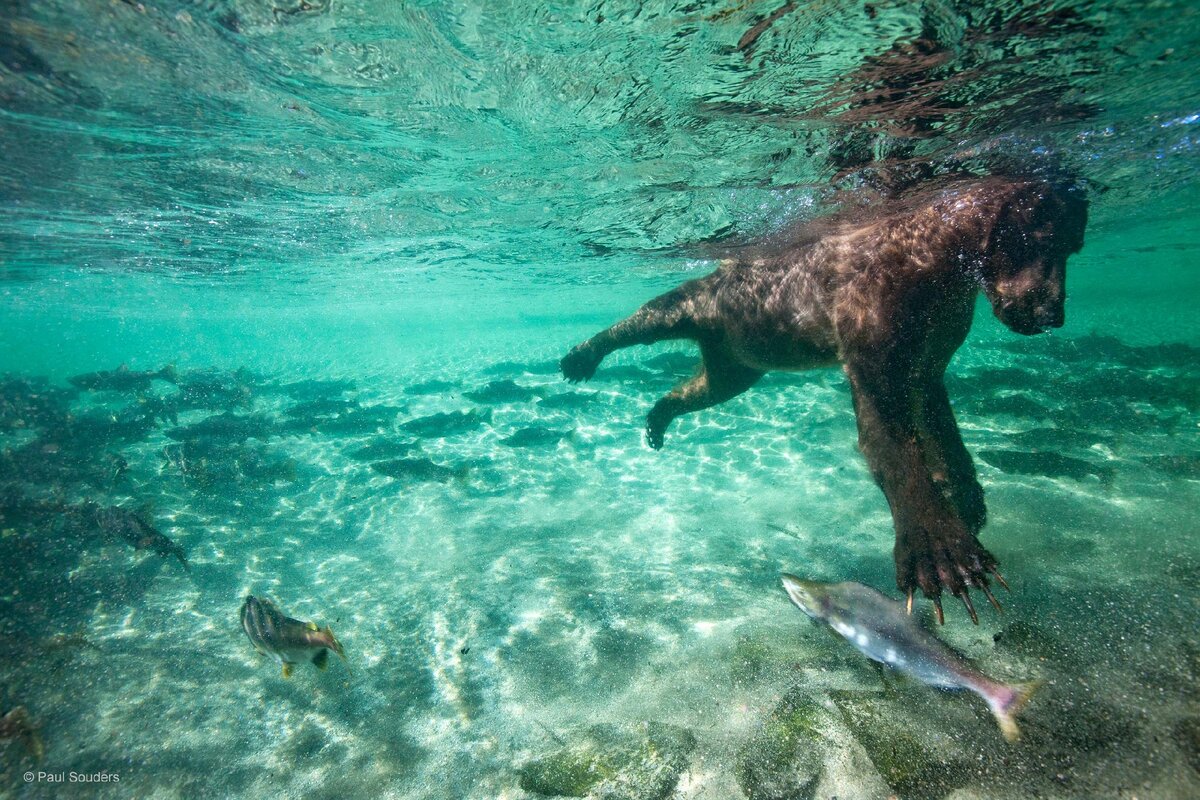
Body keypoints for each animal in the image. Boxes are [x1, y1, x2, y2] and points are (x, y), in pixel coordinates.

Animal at [559, 176, 1089, 623]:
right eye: (1041, 240)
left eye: (1074, 247)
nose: (1053, 312)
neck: (938, 264)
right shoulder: (875, 349)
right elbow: (895, 451)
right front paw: (943, 554)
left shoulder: (929, 363)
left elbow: (943, 434)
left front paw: (967, 500)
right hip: (695, 304)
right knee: (642, 321)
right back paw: (580, 358)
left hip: (738, 364)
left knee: (699, 388)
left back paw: (656, 420)